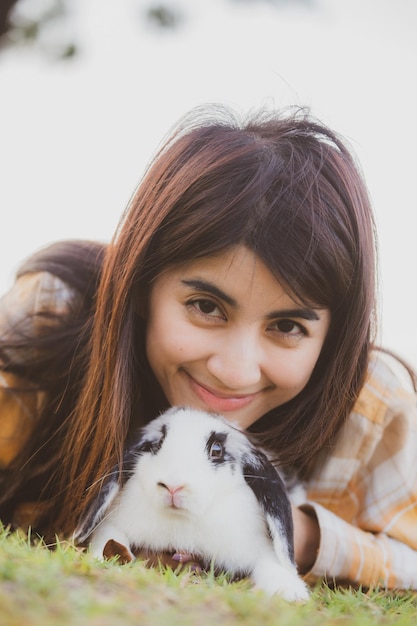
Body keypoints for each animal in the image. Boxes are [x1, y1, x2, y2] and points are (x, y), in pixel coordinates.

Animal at [75, 404, 308, 600]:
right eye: (157, 444)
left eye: (217, 450)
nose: (172, 486)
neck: (183, 524)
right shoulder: (112, 524)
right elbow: (109, 538)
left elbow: (272, 564)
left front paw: (293, 593)